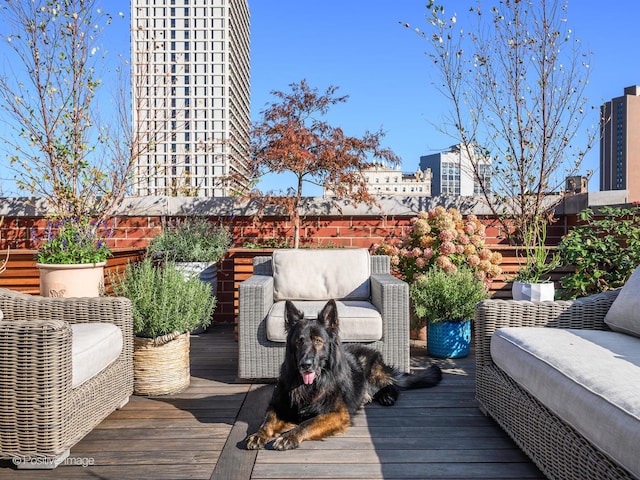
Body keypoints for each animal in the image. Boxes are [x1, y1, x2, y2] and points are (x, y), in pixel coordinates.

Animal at [242, 300, 442, 450]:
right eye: (299, 341)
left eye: (318, 341)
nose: (305, 365)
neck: (310, 386)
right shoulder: (278, 406)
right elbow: (267, 420)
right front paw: (258, 435)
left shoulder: (338, 413)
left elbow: (309, 422)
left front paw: (289, 436)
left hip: (372, 373)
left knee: (392, 384)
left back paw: (387, 396)